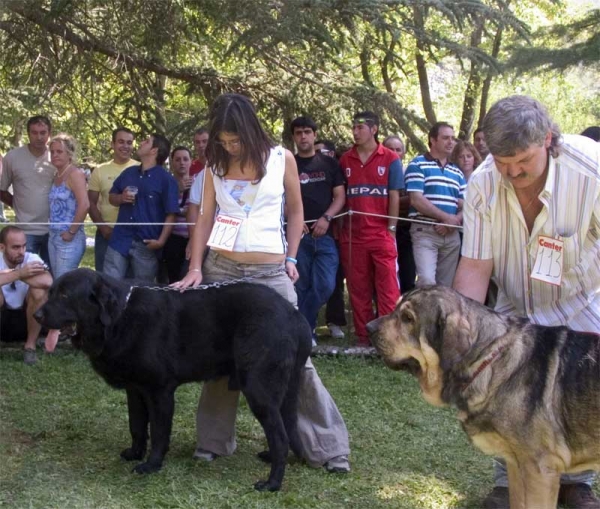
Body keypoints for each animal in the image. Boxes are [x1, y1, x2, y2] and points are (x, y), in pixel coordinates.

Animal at [35, 268, 312, 490]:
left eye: (65, 295)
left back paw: (272, 483)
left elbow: (158, 433)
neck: (119, 318)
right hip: (284, 392)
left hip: (258, 391)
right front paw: (135, 453)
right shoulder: (136, 390)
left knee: (280, 437)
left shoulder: (160, 392)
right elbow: (137, 426)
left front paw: (151, 465)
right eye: (51, 292)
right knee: (286, 429)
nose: (37, 316)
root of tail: (294, 315)